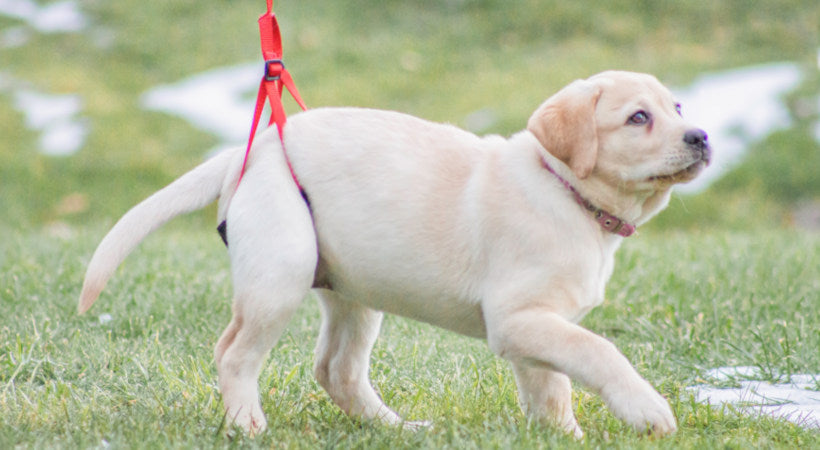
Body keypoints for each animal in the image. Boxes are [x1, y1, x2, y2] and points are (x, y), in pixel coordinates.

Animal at [81, 71, 712, 440]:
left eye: (678, 107)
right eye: (638, 117)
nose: (702, 136)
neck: (565, 191)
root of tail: (255, 148)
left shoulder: (536, 323)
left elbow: (550, 385)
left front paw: (562, 435)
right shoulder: (517, 318)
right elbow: (599, 352)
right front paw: (646, 410)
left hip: (354, 293)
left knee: (336, 371)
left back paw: (400, 428)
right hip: (280, 274)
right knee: (234, 353)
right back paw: (247, 425)